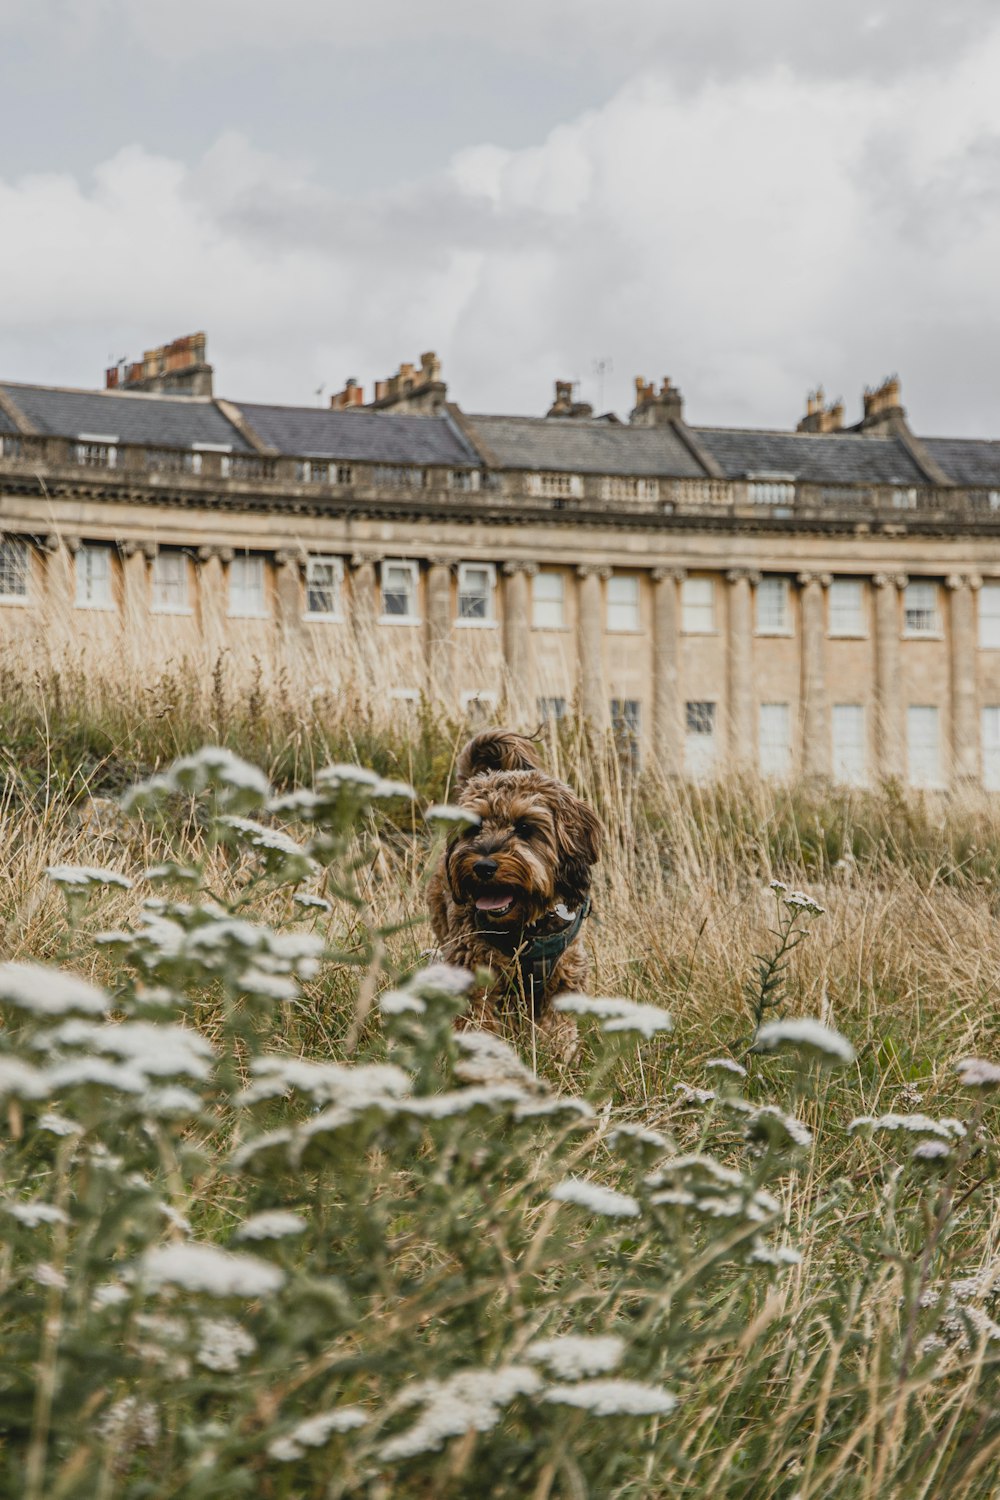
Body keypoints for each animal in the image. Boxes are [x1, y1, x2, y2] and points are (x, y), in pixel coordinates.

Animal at [425, 729, 599, 1044]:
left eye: (525, 828)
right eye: (474, 827)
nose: (483, 867)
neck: (527, 929)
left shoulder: (564, 978)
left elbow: (559, 1032)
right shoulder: (474, 976)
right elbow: (477, 1024)